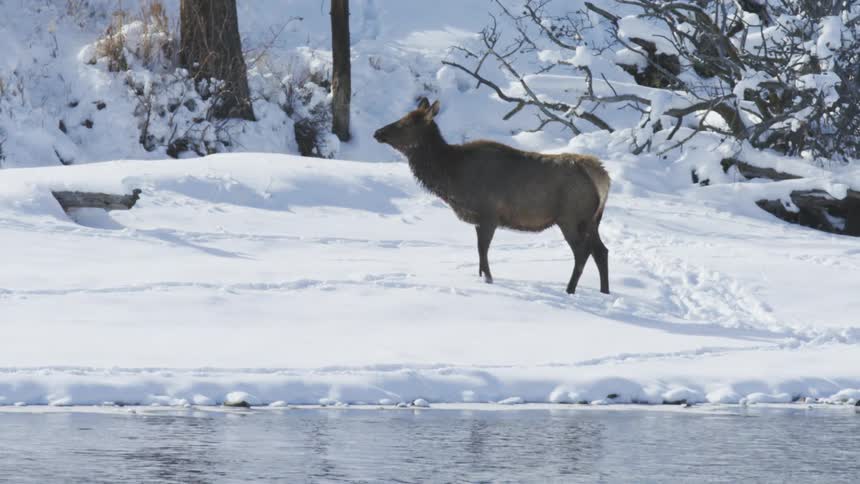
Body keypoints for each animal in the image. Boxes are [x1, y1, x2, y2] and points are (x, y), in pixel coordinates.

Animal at [374, 98, 611, 294]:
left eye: (406, 124)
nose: (377, 132)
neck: (452, 176)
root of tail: (602, 176)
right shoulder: (480, 219)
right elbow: (480, 253)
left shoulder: (488, 214)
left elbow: (483, 250)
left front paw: (489, 280)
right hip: (593, 221)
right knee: (601, 251)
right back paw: (604, 292)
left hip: (571, 218)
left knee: (583, 252)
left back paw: (569, 290)